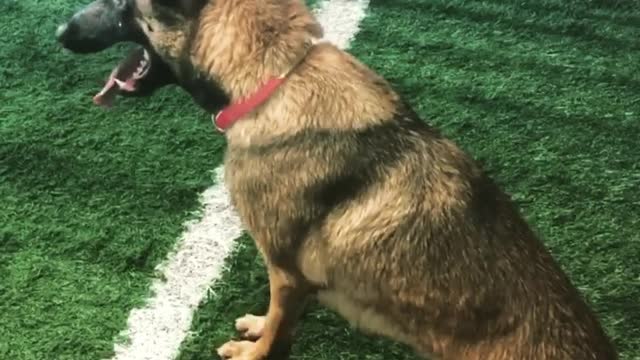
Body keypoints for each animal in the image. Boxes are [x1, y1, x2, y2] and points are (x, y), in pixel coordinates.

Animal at [57, 0, 616, 360]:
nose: (59, 31)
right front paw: (257, 326)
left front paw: (255, 351)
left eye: (121, 2)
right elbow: (275, 317)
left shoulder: (286, 271)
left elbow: (277, 338)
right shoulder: (290, 281)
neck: (276, 77)